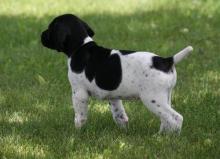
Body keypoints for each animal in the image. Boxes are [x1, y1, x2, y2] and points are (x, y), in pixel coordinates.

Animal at [40, 13, 192, 134]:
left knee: (176, 118)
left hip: (153, 99)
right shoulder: (113, 97)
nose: (41, 35)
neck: (80, 46)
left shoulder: (79, 93)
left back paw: (171, 138)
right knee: (166, 120)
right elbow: (119, 115)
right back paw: (160, 135)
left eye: (50, 28)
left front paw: (76, 132)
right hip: (165, 97)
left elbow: (80, 116)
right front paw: (123, 130)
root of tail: (166, 60)